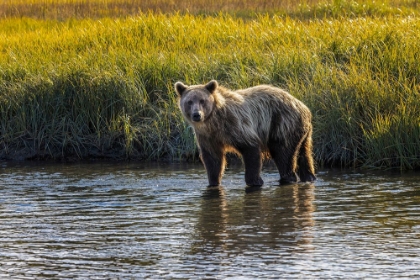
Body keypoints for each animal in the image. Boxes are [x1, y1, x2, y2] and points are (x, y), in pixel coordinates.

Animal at [173, 80, 316, 187]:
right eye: (189, 102)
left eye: (202, 100)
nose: (197, 115)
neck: (214, 122)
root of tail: (304, 107)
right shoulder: (207, 137)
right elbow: (212, 159)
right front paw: (213, 181)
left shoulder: (236, 125)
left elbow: (250, 149)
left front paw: (255, 181)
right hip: (302, 133)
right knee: (303, 154)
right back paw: (309, 177)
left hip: (282, 124)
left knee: (283, 154)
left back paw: (288, 178)